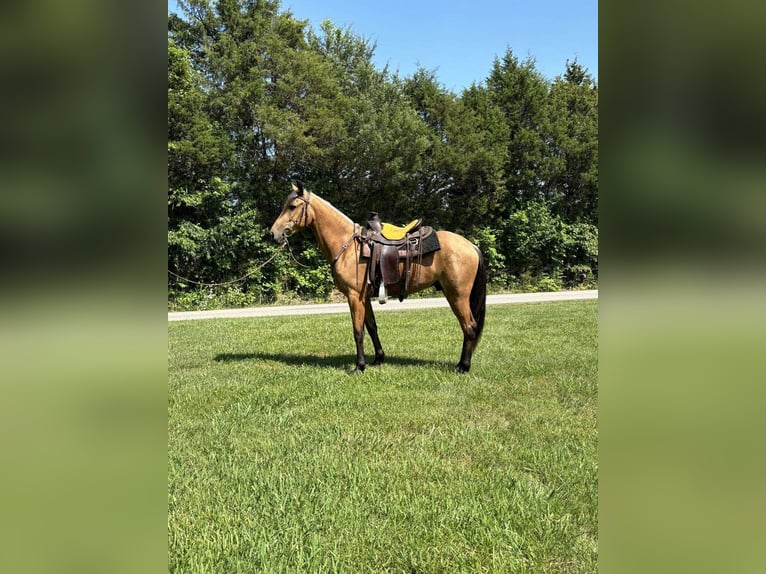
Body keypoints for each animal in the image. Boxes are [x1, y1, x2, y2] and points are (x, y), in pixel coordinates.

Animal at [270, 182, 486, 376]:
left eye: (292, 206)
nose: (273, 234)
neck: (348, 246)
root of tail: (471, 246)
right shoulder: (364, 297)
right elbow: (372, 327)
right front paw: (378, 359)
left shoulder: (354, 296)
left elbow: (358, 331)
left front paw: (359, 367)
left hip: (457, 296)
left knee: (469, 327)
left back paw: (463, 367)